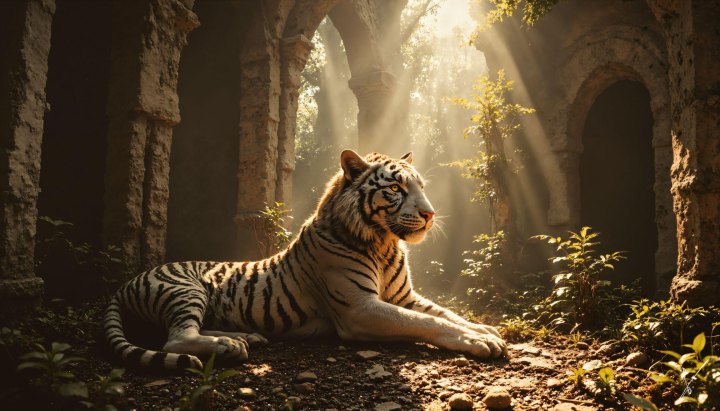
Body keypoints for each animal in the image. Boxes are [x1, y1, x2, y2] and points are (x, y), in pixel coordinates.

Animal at [104, 150, 507, 370]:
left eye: (421, 186)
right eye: (395, 188)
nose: (430, 214)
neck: (384, 243)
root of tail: (125, 283)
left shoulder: (405, 296)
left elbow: (445, 313)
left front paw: (486, 330)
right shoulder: (359, 308)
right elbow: (426, 322)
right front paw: (478, 341)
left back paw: (244, 337)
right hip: (185, 289)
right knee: (175, 339)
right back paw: (227, 347)